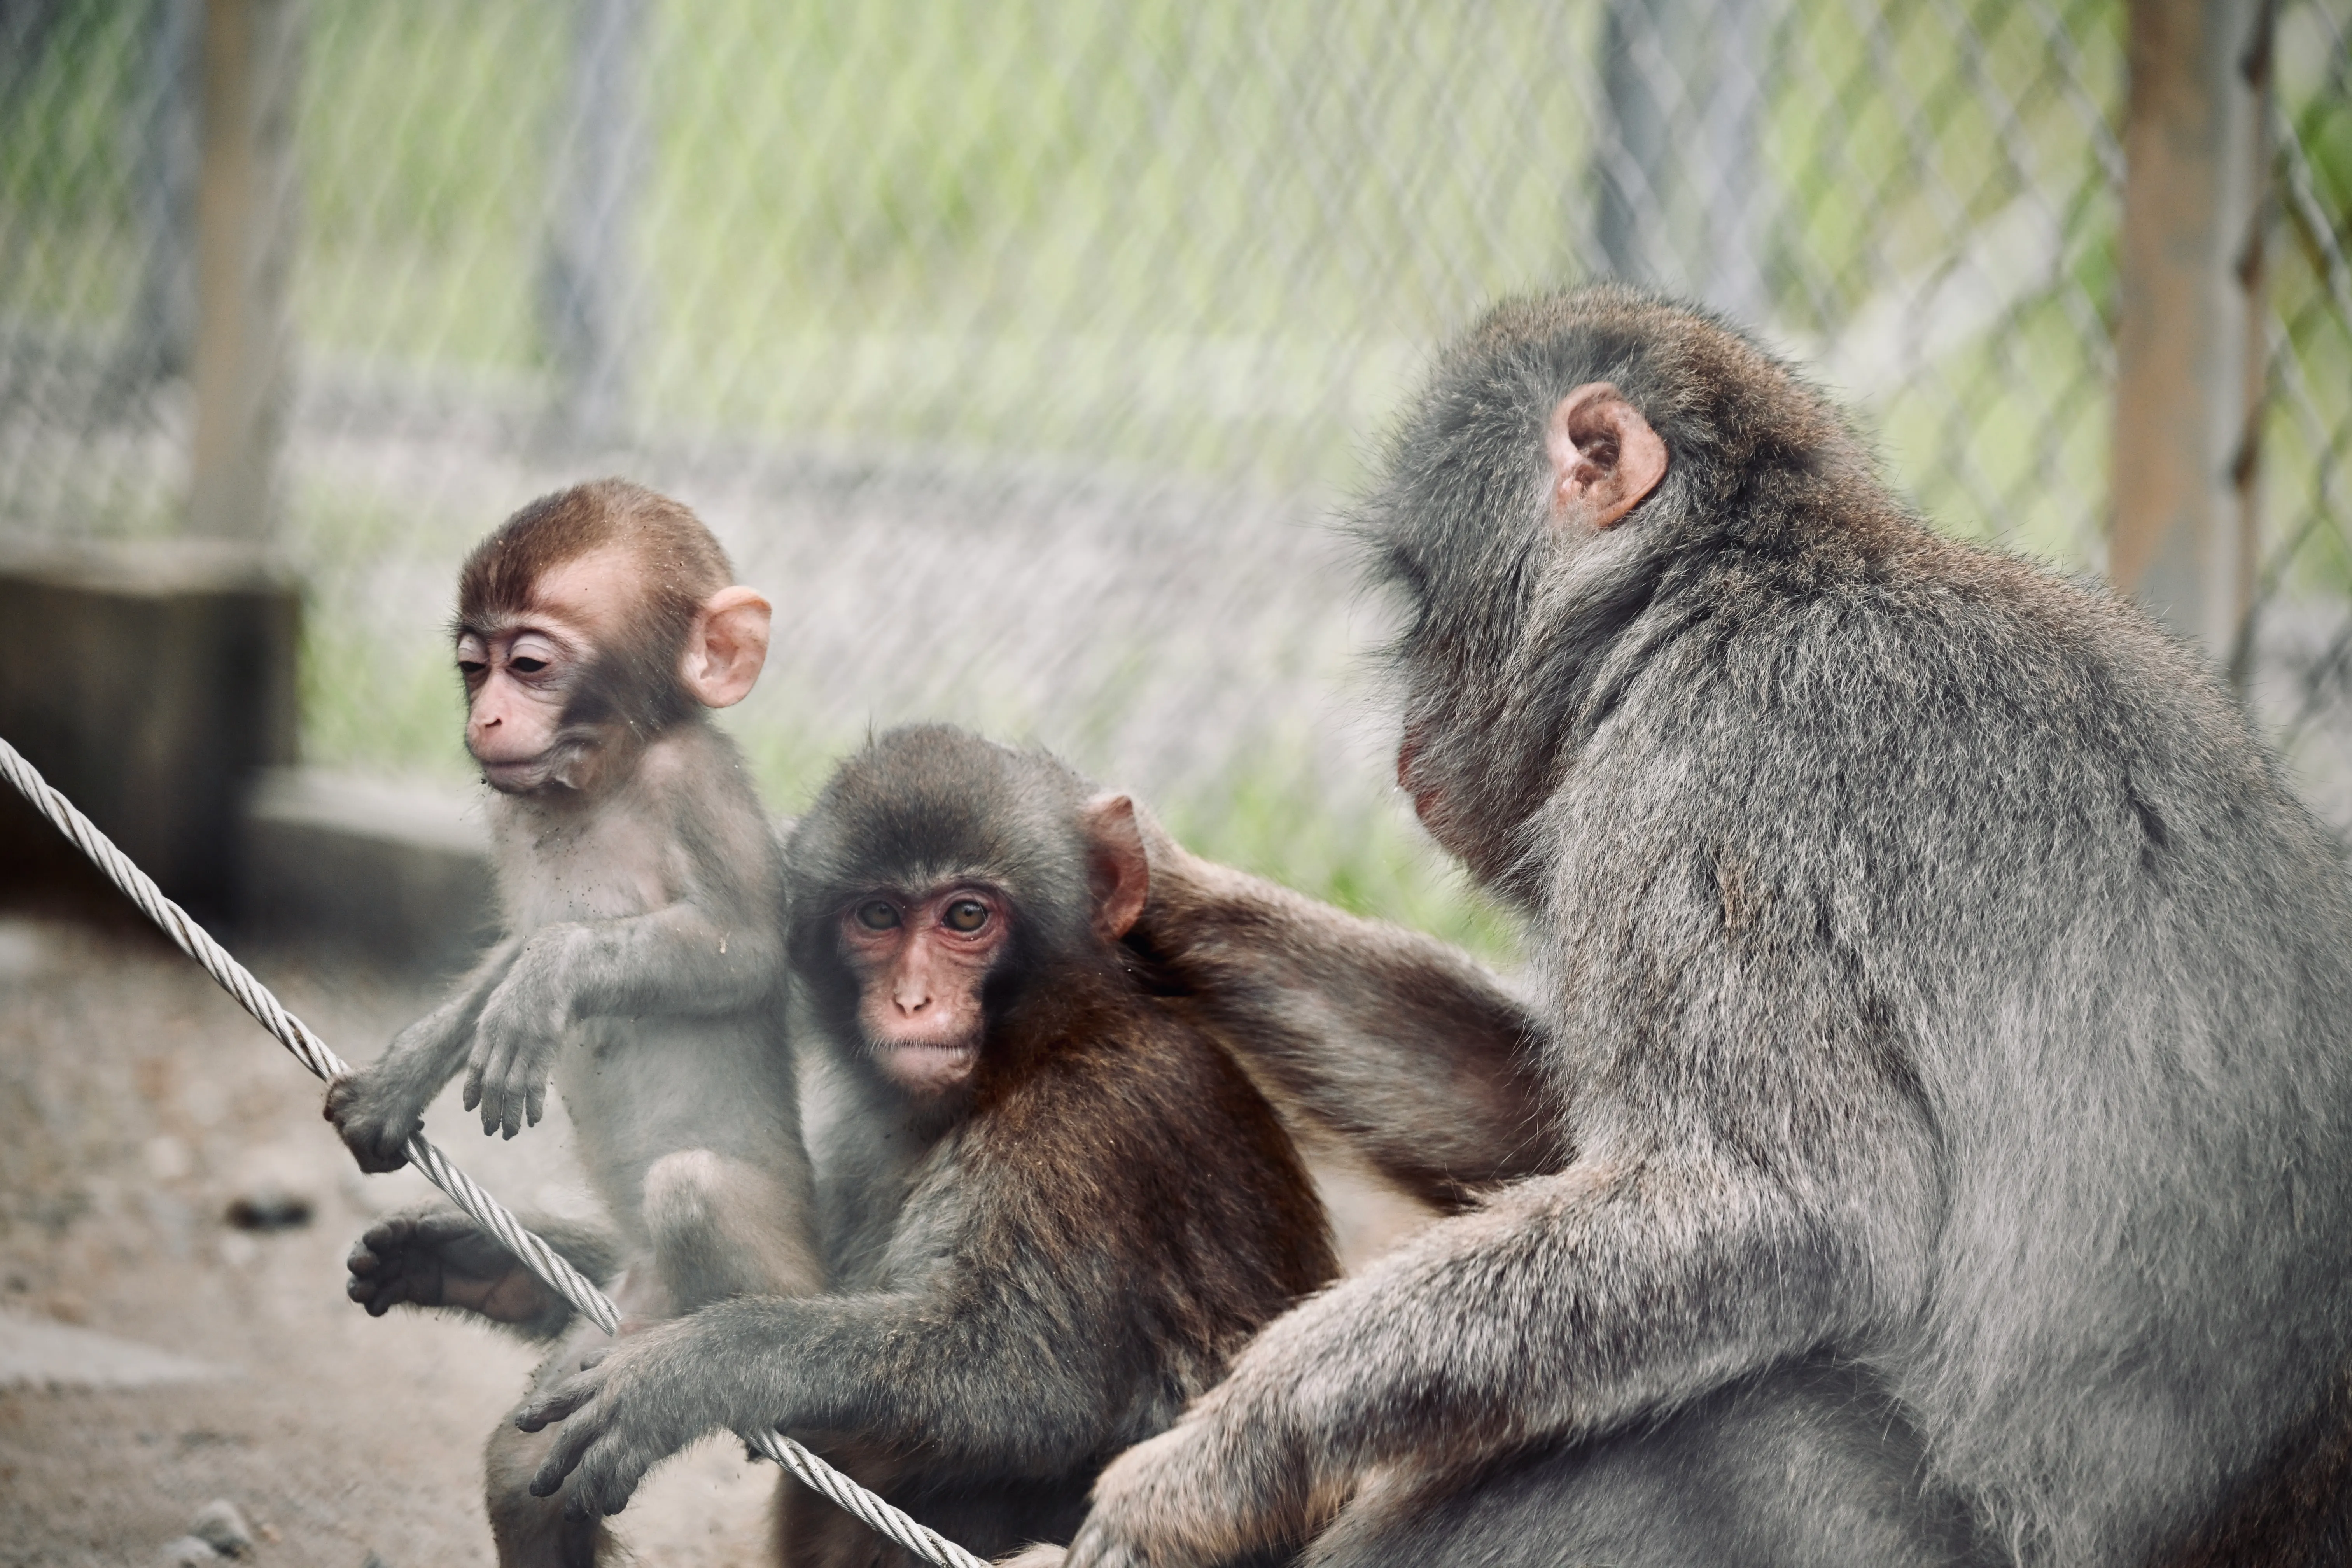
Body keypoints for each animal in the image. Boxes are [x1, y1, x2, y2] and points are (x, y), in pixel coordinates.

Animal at [325, 478, 824, 1568]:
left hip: (765, 1270)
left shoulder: (699, 788)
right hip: (619, 1327)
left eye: (531, 664)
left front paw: (554, 972)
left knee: (693, 1192)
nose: (487, 714)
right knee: (528, 1473)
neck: (603, 782)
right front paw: (410, 1068)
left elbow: (746, 951)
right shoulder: (511, 811)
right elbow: (512, 949)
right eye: (472, 666)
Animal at [505, 723, 1339, 1568]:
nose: (912, 999)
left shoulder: (1096, 1131)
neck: (1029, 1050)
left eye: (966, 916)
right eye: (877, 916)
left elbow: (1028, 1384)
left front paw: (694, 1371)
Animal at [1021, 286, 2352, 1568]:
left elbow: (1778, 1208)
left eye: (1415, 598)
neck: (1721, 590)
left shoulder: (1703, 770)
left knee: (1725, 1433)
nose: (1407, 731)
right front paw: (1156, 888)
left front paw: (1225, 1462)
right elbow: (1528, 1118)